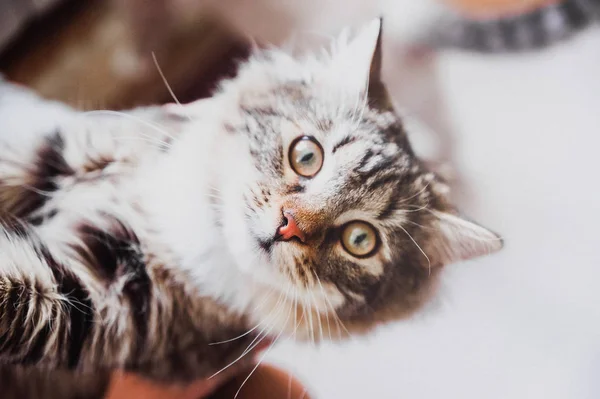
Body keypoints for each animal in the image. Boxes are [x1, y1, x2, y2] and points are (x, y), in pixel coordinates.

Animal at [0, 20, 502, 398]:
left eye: (360, 240)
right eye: (307, 155)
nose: (289, 225)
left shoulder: (105, 302)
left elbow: (17, 296)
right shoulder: (71, 152)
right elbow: (15, 166)